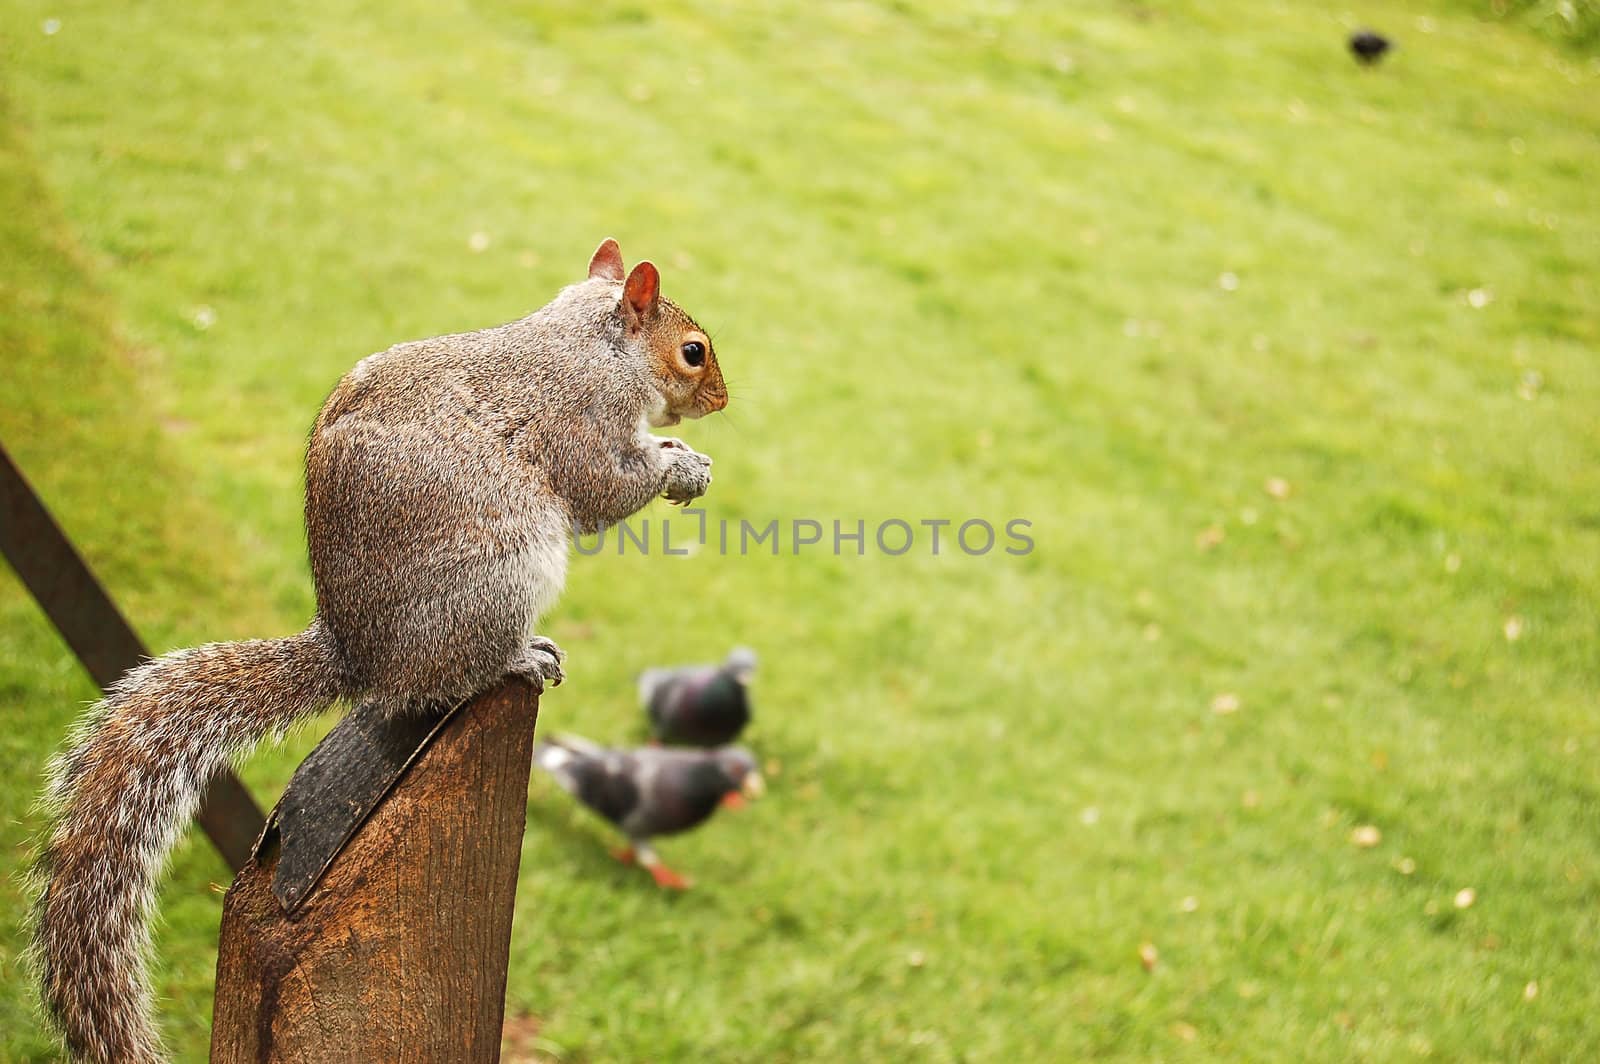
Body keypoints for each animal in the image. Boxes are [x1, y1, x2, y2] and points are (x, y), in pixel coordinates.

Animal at [32, 236, 732, 1056]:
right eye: (692, 352)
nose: (721, 401)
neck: (590, 342)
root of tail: (358, 653)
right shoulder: (581, 422)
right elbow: (604, 489)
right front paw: (680, 462)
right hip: (497, 578)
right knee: (455, 673)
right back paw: (518, 657)